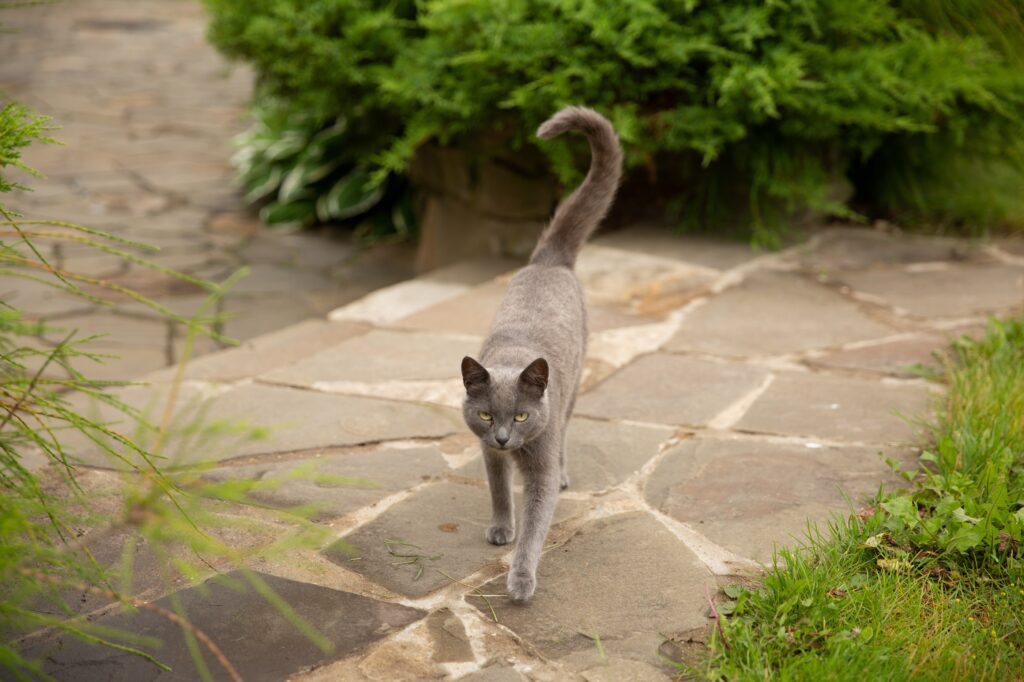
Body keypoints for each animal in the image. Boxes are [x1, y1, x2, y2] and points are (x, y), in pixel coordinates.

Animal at [464, 106, 622, 602]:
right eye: (486, 415)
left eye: (521, 416)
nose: (502, 437)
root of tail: (549, 260)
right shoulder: (488, 455)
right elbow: (499, 490)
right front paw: (501, 528)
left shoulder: (540, 469)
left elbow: (537, 523)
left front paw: (520, 580)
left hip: (572, 391)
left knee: (567, 433)